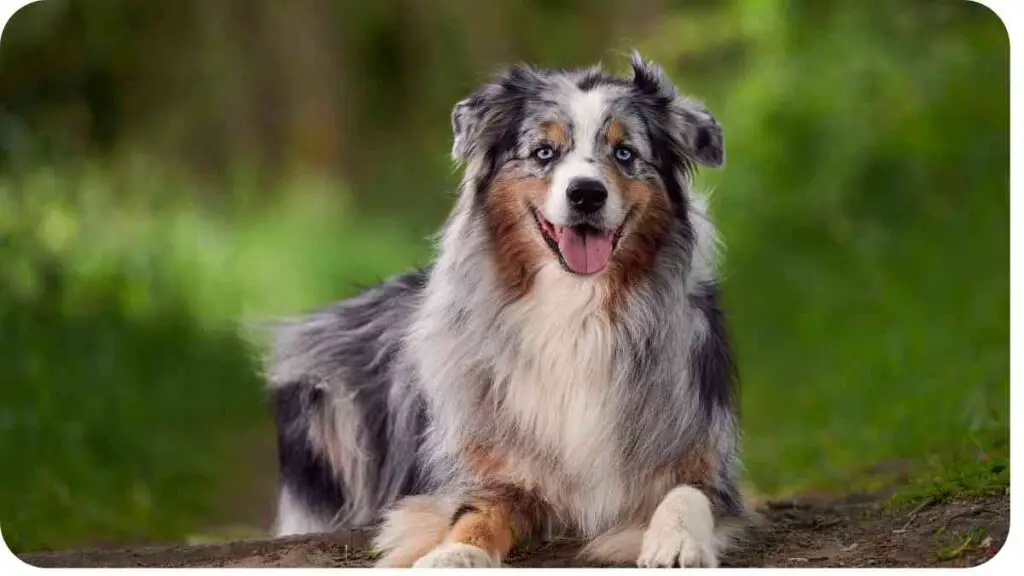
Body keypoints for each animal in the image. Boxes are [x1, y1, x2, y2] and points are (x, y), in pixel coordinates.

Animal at [262, 52, 745, 565]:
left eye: (625, 153)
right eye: (544, 152)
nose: (586, 193)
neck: (575, 310)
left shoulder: (704, 458)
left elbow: (686, 494)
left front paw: (676, 541)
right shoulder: (491, 472)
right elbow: (474, 514)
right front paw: (453, 556)